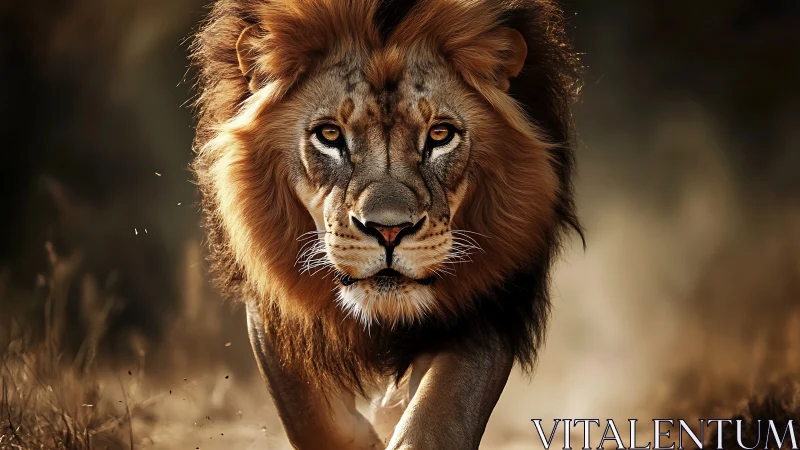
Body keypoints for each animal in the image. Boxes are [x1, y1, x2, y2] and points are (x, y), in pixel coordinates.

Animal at [191, 0, 581, 448]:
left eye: (440, 134)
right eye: (330, 135)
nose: (389, 231)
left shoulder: (491, 299)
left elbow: (437, 415)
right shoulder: (272, 301)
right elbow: (312, 418)